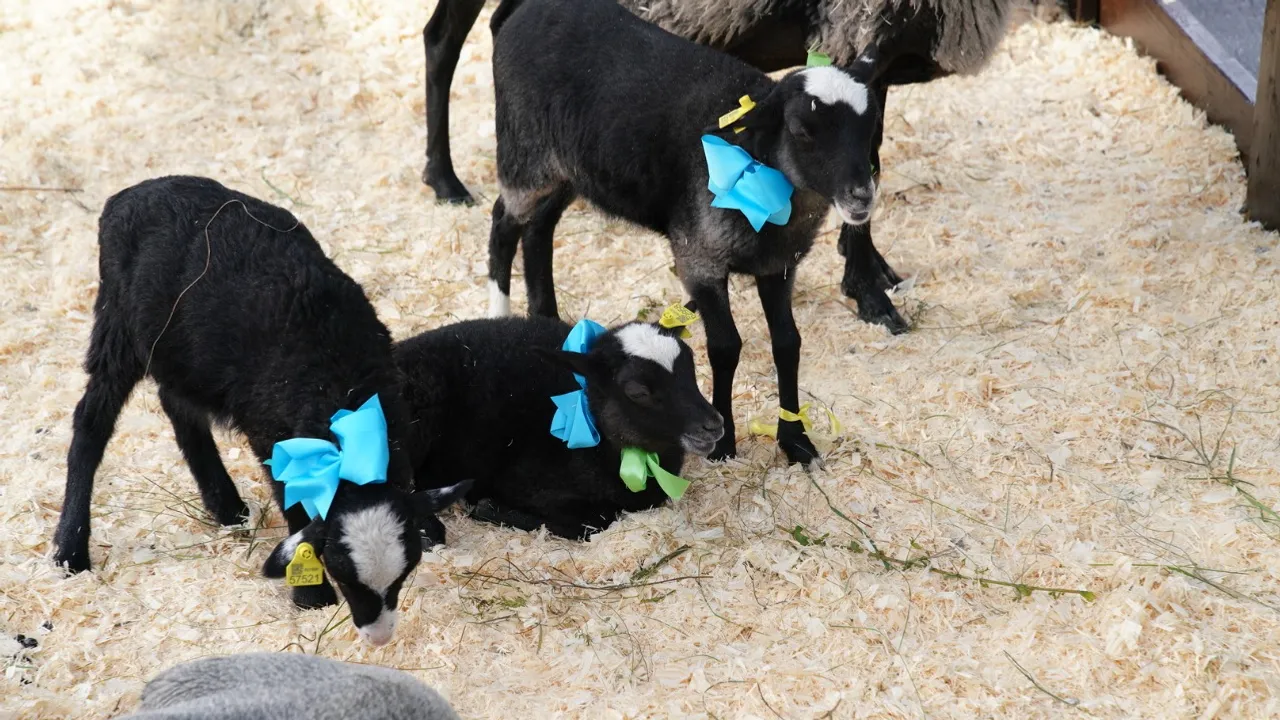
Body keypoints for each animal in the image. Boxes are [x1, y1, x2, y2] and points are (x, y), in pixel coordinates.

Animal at [50, 175, 469, 646]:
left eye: (405, 573)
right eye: (341, 572)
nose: (377, 636)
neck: (338, 387)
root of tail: (134, 191)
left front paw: (428, 527)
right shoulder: (274, 439)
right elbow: (295, 508)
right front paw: (311, 597)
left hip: (182, 351)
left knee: (178, 407)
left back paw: (225, 506)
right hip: (117, 322)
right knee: (90, 423)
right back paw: (71, 549)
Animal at [482, 0, 877, 465]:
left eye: (870, 126)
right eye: (801, 131)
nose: (861, 196)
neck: (755, 167)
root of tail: (524, 9)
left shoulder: (778, 266)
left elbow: (787, 343)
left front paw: (795, 440)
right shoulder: (699, 260)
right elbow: (725, 347)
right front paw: (724, 444)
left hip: (567, 169)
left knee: (540, 230)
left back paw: (546, 316)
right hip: (525, 156)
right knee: (503, 223)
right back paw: (499, 314)